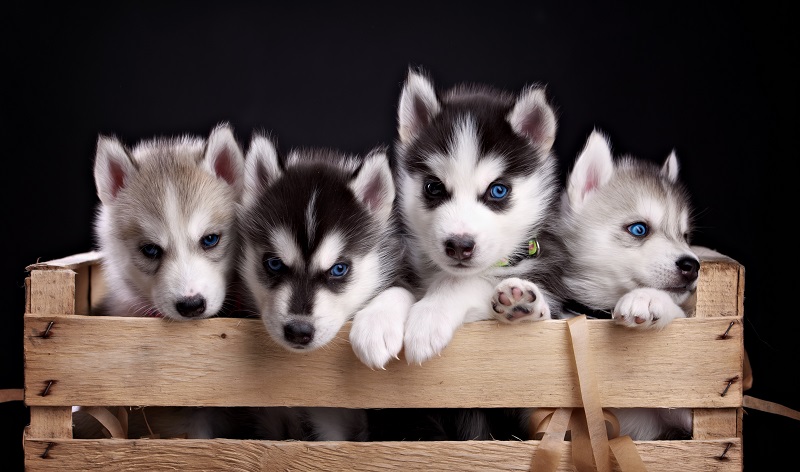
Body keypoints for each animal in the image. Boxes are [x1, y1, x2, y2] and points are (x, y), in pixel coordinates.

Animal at [394, 68, 568, 366]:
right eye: (433, 187)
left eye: (498, 190)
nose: (458, 246)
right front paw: (372, 323)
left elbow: (461, 281)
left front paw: (428, 318)